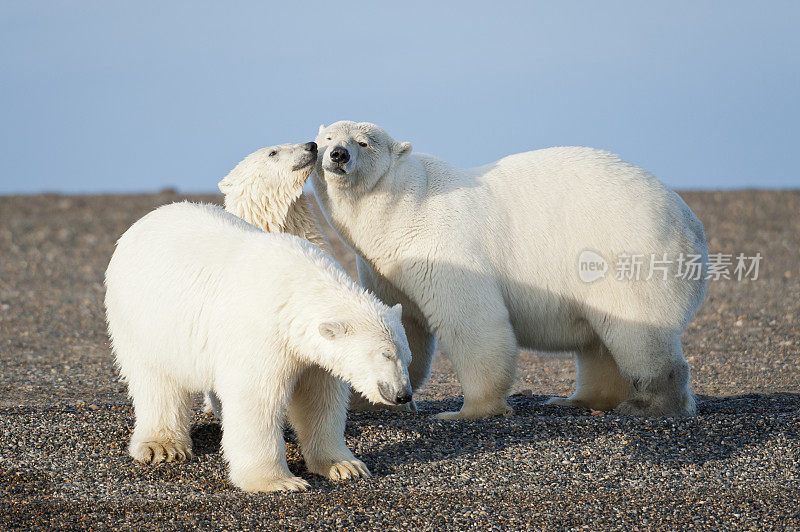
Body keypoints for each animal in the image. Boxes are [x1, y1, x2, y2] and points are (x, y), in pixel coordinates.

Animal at [105, 202, 412, 492]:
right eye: (384, 354)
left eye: (406, 357)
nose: (403, 395)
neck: (296, 291)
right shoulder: (264, 333)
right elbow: (257, 399)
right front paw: (279, 481)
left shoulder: (312, 356)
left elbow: (319, 399)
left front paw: (345, 466)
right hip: (143, 321)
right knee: (157, 382)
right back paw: (163, 446)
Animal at [310, 120, 708, 420]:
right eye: (327, 139)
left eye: (363, 141)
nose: (338, 154)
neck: (402, 206)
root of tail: (691, 223)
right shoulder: (385, 268)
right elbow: (405, 325)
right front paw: (367, 398)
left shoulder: (443, 244)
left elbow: (472, 321)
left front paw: (467, 411)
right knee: (600, 340)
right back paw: (577, 399)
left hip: (628, 255)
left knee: (638, 331)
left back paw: (649, 404)